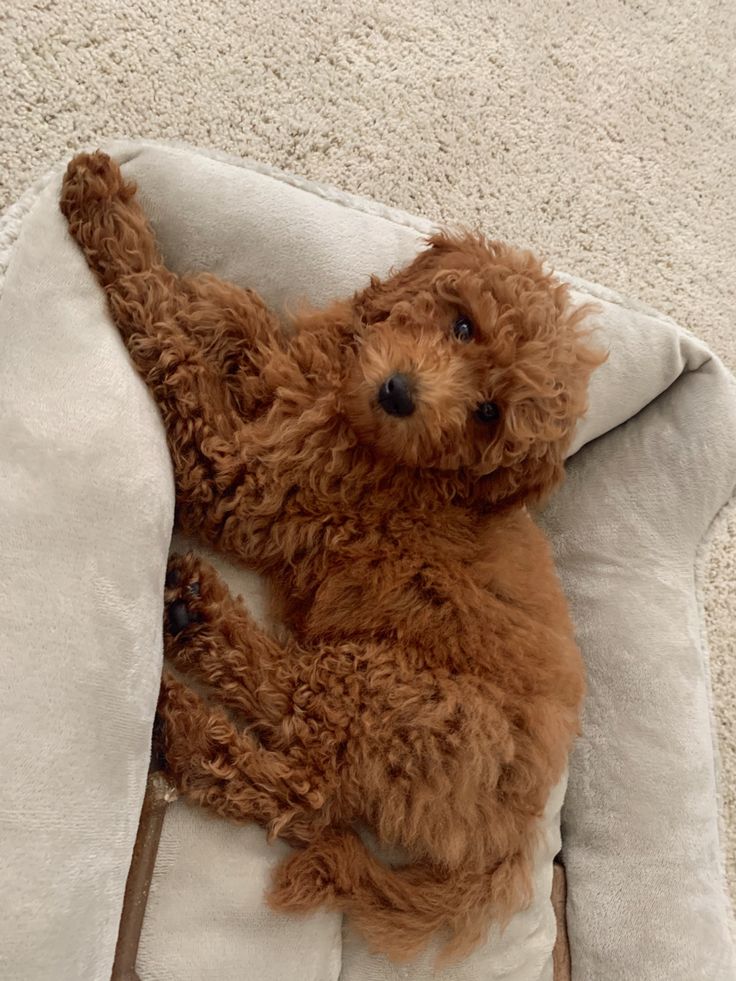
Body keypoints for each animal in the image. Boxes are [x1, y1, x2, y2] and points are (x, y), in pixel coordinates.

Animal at [59, 153, 604, 964]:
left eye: (488, 415)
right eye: (462, 323)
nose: (400, 392)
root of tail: (513, 837)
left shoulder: (241, 483)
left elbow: (172, 348)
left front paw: (105, 210)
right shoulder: (300, 383)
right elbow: (249, 326)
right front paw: (205, 296)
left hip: (386, 691)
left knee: (299, 773)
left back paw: (182, 701)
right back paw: (187, 632)